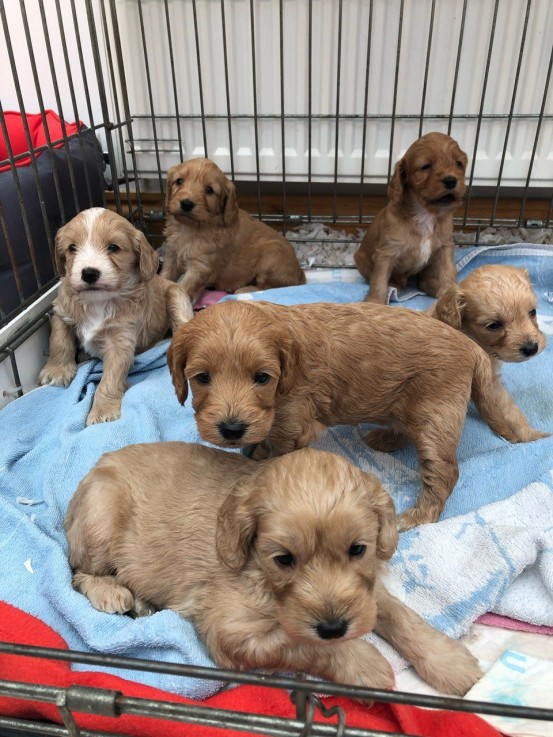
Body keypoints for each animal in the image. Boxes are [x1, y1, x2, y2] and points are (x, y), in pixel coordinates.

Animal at [37, 207, 193, 426]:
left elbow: (110, 378)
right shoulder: (61, 312)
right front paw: (57, 371)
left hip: (177, 297)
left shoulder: (120, 341)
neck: (98, 301)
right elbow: (58, 341)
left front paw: (102, 410)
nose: (89, 273)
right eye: (72, 248)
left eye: (114, 247)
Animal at [66, 440, 484, 700]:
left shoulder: (363, 592)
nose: (335, 627)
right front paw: (363, 664)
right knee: (76, 572)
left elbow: (399, 614)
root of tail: (95, 466)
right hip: (101, 517)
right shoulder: (228, 632)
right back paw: (112, 593)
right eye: (284, 559)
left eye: (357, 549)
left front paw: (450, 661)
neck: (259, 573)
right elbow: (299, 643)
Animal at [160, 158, 306, 302]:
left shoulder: (200, 267)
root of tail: (301, 275)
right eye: (179, 181)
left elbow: (183, 288)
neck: (188, 228)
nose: (186, 204)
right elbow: (164, 276)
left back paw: (244, 290)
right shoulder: (172, 255)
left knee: (269, 287)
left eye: (209, 190)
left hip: (271, 254)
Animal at [354, 132, 466, 302]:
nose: (451, 180)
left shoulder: (444, 247)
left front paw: (450, 294)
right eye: (426, 166)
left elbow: (448, 271)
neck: (425, 213)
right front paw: (374, 302)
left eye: (459, 163)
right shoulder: (387, 252)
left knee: (423, 282)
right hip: (361, 260)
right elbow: (379, 281)